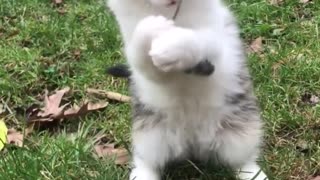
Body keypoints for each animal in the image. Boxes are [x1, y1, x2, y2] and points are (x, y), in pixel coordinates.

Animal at [107, 0, 268, 180]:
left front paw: (173, 44)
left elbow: (198, 38)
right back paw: (143, 175)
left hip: (240, 135)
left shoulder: (216, 37)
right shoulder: (144, 64)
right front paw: (150, 28)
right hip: (151, 137)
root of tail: (195, 142)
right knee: (146, 161)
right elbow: (142, 56)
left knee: (243, 162)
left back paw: (255, 175)